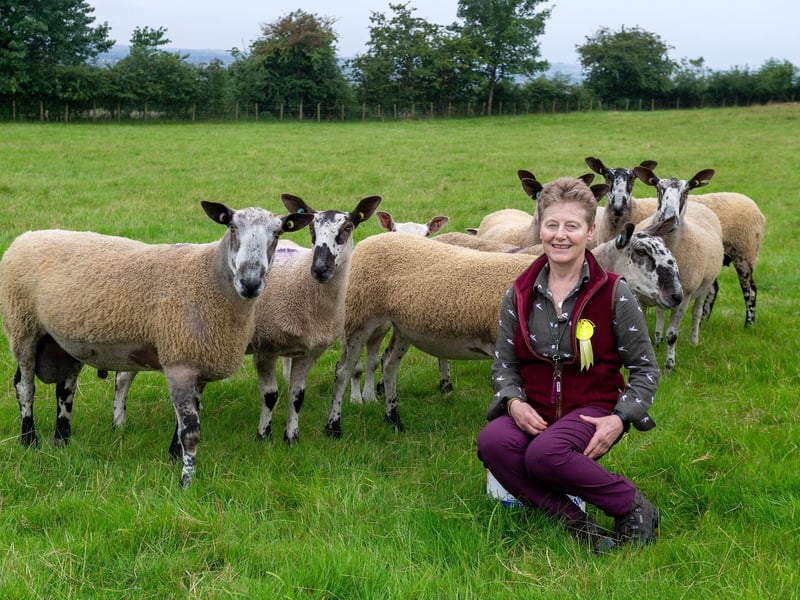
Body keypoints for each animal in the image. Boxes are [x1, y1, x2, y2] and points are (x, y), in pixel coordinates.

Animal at [0, 202, 313, 487]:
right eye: (232, 227)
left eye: (277, 233)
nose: (250, 283)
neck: (209, 277)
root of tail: (24, 237)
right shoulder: (179, 362)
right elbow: (191, 431)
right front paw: (186, 481)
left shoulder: (198, 362)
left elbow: (185, 420)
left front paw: (173, 456)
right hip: (23, 327)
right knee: (25, 386)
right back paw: (30, 440)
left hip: (64, 341)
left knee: (65, 390)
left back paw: (62, 440)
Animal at [325, 214, 683, 437]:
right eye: (641, 252)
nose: (677, 295)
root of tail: (372, 240)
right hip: (359, 315)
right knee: (343, 370)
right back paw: (334, 426)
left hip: (403, 325)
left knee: (388, 366)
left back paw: (394, 420)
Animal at [586, 156, 765, 326]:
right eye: (607, 177)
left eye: (632, 179)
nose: (618, 206)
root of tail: (750, 201)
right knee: (713, 289)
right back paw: (704, 321)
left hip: (745, 254)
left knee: (750, 290)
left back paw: (749, 324)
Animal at [632, 166, 725, 372]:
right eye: (658, 188)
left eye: (687, 190)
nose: (669, 219)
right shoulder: (638, 294)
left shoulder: (685, 295)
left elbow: (673, 335)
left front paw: (669, 365)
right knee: (660, 312)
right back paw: (657, 339)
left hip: (704, 287)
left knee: (697, 313)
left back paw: (694, 341)